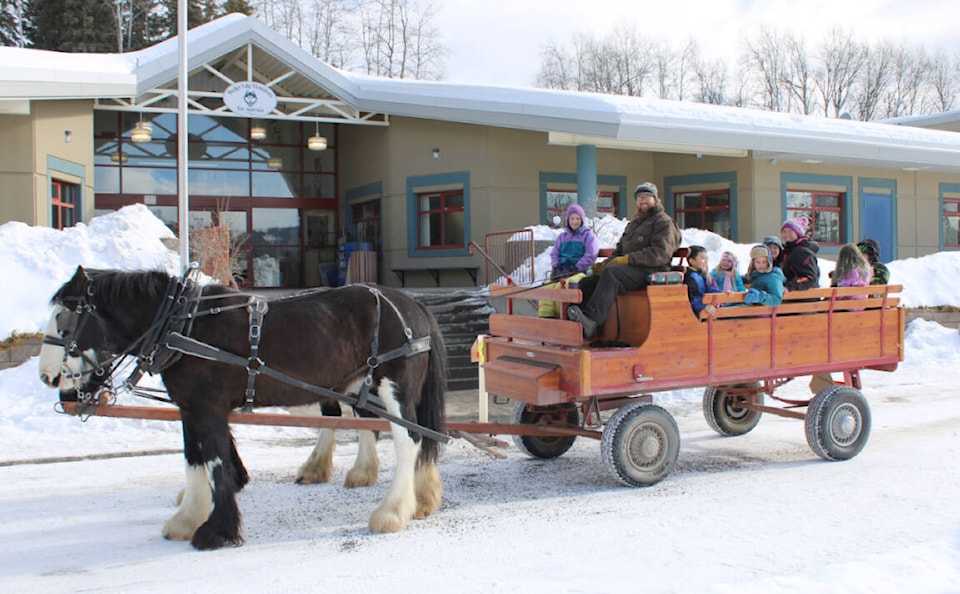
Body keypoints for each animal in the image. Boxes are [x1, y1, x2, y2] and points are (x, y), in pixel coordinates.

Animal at [41, 266, 450, 548]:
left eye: (64, 320)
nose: (48, 376)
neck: (183, 326)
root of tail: (413, 304)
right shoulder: (190, 409)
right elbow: (195, 460)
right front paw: (188, 518)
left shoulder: (208, 407)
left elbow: (215, 462)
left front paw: (215, 532)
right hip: (360, 385)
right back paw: (416, 496)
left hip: (393, 386)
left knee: (409, 440)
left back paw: (392, 512)